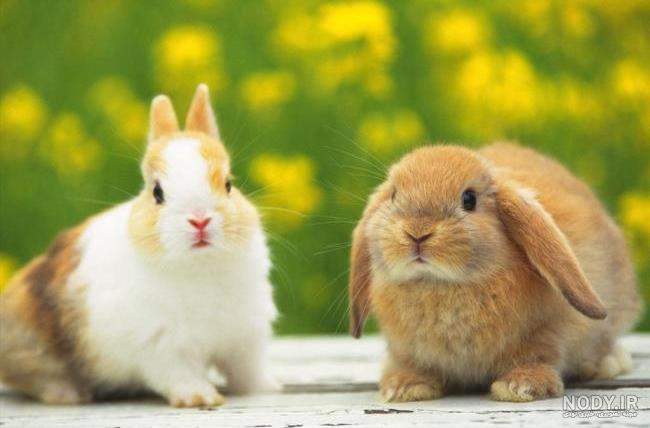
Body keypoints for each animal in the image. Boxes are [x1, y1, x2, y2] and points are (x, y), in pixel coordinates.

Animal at [0, 84, 278, 407]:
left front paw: (267, 388)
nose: (199, 220)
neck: (200, 266)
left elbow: (247, 371)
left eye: (228, 184)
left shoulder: (245, 338)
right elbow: (182, 375)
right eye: (157, 192)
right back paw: (68, 394)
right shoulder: (164, 347)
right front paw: (201, 399)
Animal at [348, 142, 641, 402]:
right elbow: (413, 364)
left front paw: (522, 386)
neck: (440, 284)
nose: (417, 232)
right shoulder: (407, 349)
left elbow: (538, 355)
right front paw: (405, 388)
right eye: (394, 195)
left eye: (469, 199)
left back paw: (606, 364)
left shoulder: (545, 333)